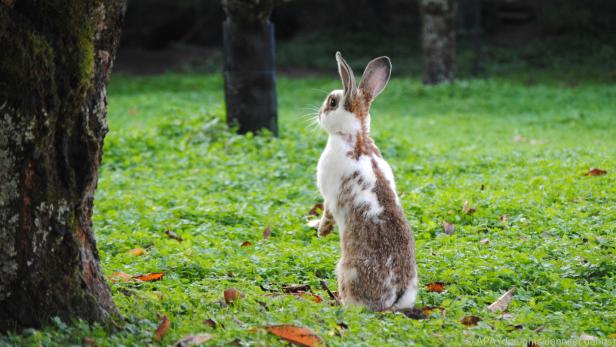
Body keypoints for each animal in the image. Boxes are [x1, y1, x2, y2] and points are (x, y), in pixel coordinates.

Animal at [312, 51, 418, 312]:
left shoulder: (329, 193)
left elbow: (327, 211)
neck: (354, 135)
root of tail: (395, 296)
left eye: (332, 101)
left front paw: (322, 231)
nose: (319, 114)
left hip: (346, 272)